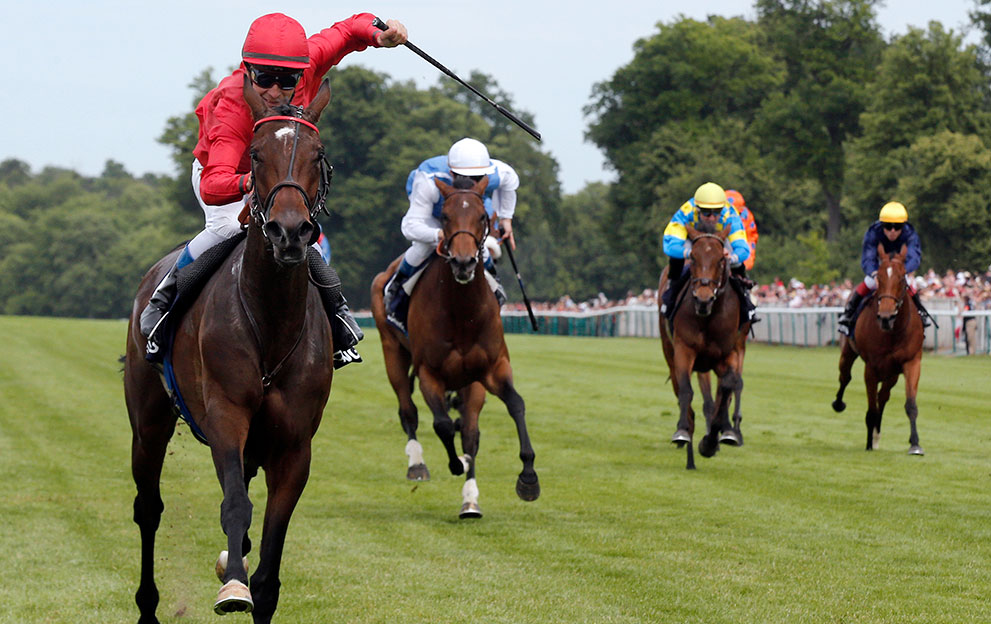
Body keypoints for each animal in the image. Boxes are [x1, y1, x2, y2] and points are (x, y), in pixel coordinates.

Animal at [123, 78, 338, 624]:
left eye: (318, 154)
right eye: (255, 154)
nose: (290, 231)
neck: (271, 320)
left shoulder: (295, 444)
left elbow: (270, 552)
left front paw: (248, 579)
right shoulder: (225, 416)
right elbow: (236, 505)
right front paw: (233, 588)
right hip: (148, 421)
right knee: (148, 508)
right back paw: (149, 604)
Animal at [372, 174, 544, 516]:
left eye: (482, 217)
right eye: (445, 217)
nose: (464, 263)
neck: (462, 314)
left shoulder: (488, 371)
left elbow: (509, 409)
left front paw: (527, 478)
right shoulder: (429, 372)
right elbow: (441, 425)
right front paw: (455, 464)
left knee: (465, 427)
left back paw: (469, 499)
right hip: (392, 351)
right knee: (407, 409)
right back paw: (417, 463)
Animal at [660, 224, 752, 468]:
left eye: (721, 259)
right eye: (692, 256)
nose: (703, 298)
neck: (708, 317)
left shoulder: (730, 352)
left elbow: (728, 387)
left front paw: (715, 439)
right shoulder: (685, 350)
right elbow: (686, 392)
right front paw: (683, 432)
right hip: (670, 351)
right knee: (684, 395)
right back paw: (689, 455)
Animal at [832, 244, 928, 454]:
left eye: (901, 279)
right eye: (880, 279)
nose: (885, 316)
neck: (893, 332)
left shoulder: (911, 362)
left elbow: (910, 404)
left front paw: (915, 444)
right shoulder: (871, 368)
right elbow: (871, 409)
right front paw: (868, 444)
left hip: (892, 374)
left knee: (883, 396)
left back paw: (877, 435)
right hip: (848, 351)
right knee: (845, 377)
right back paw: (839, 404)